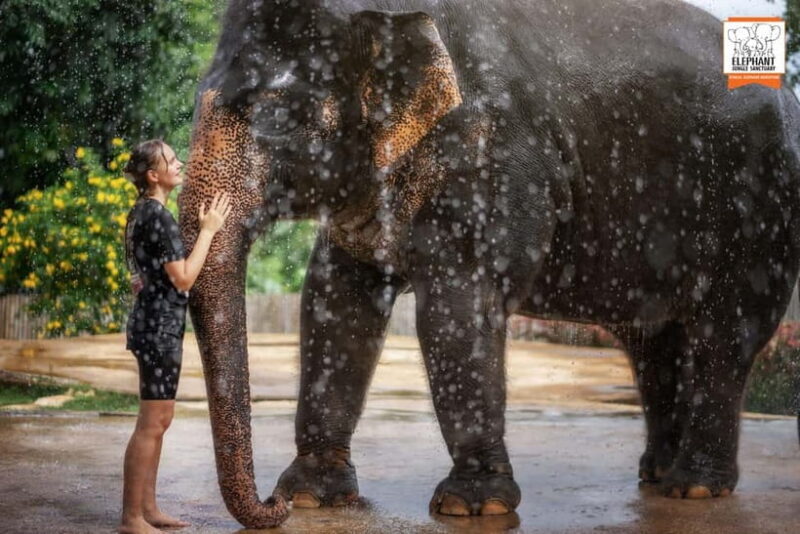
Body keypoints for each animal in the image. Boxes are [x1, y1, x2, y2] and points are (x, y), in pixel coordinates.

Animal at [177, 0, 800, 526]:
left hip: (761, 211)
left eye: (281, 115)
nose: (272, 505)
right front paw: (312, 495)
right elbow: (335, 298)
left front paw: (471, 507)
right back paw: (657, 476)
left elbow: (458, 304)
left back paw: (694, 488)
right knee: (654, 343)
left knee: (725, 335)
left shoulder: (490, 152)